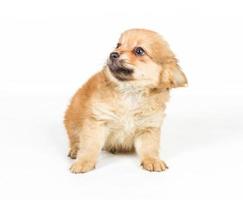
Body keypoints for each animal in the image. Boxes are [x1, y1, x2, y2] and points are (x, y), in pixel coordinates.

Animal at [63, 28, 187, 173]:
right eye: (118, 45)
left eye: (139, 51)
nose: (112, 54)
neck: (130, 92)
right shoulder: (98, 121)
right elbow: (90, 145)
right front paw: (83, 162)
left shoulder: (148, 127)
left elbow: (150, 147)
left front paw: (152, 160)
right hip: (73, 119)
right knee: (75, 138)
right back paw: (75, 150)